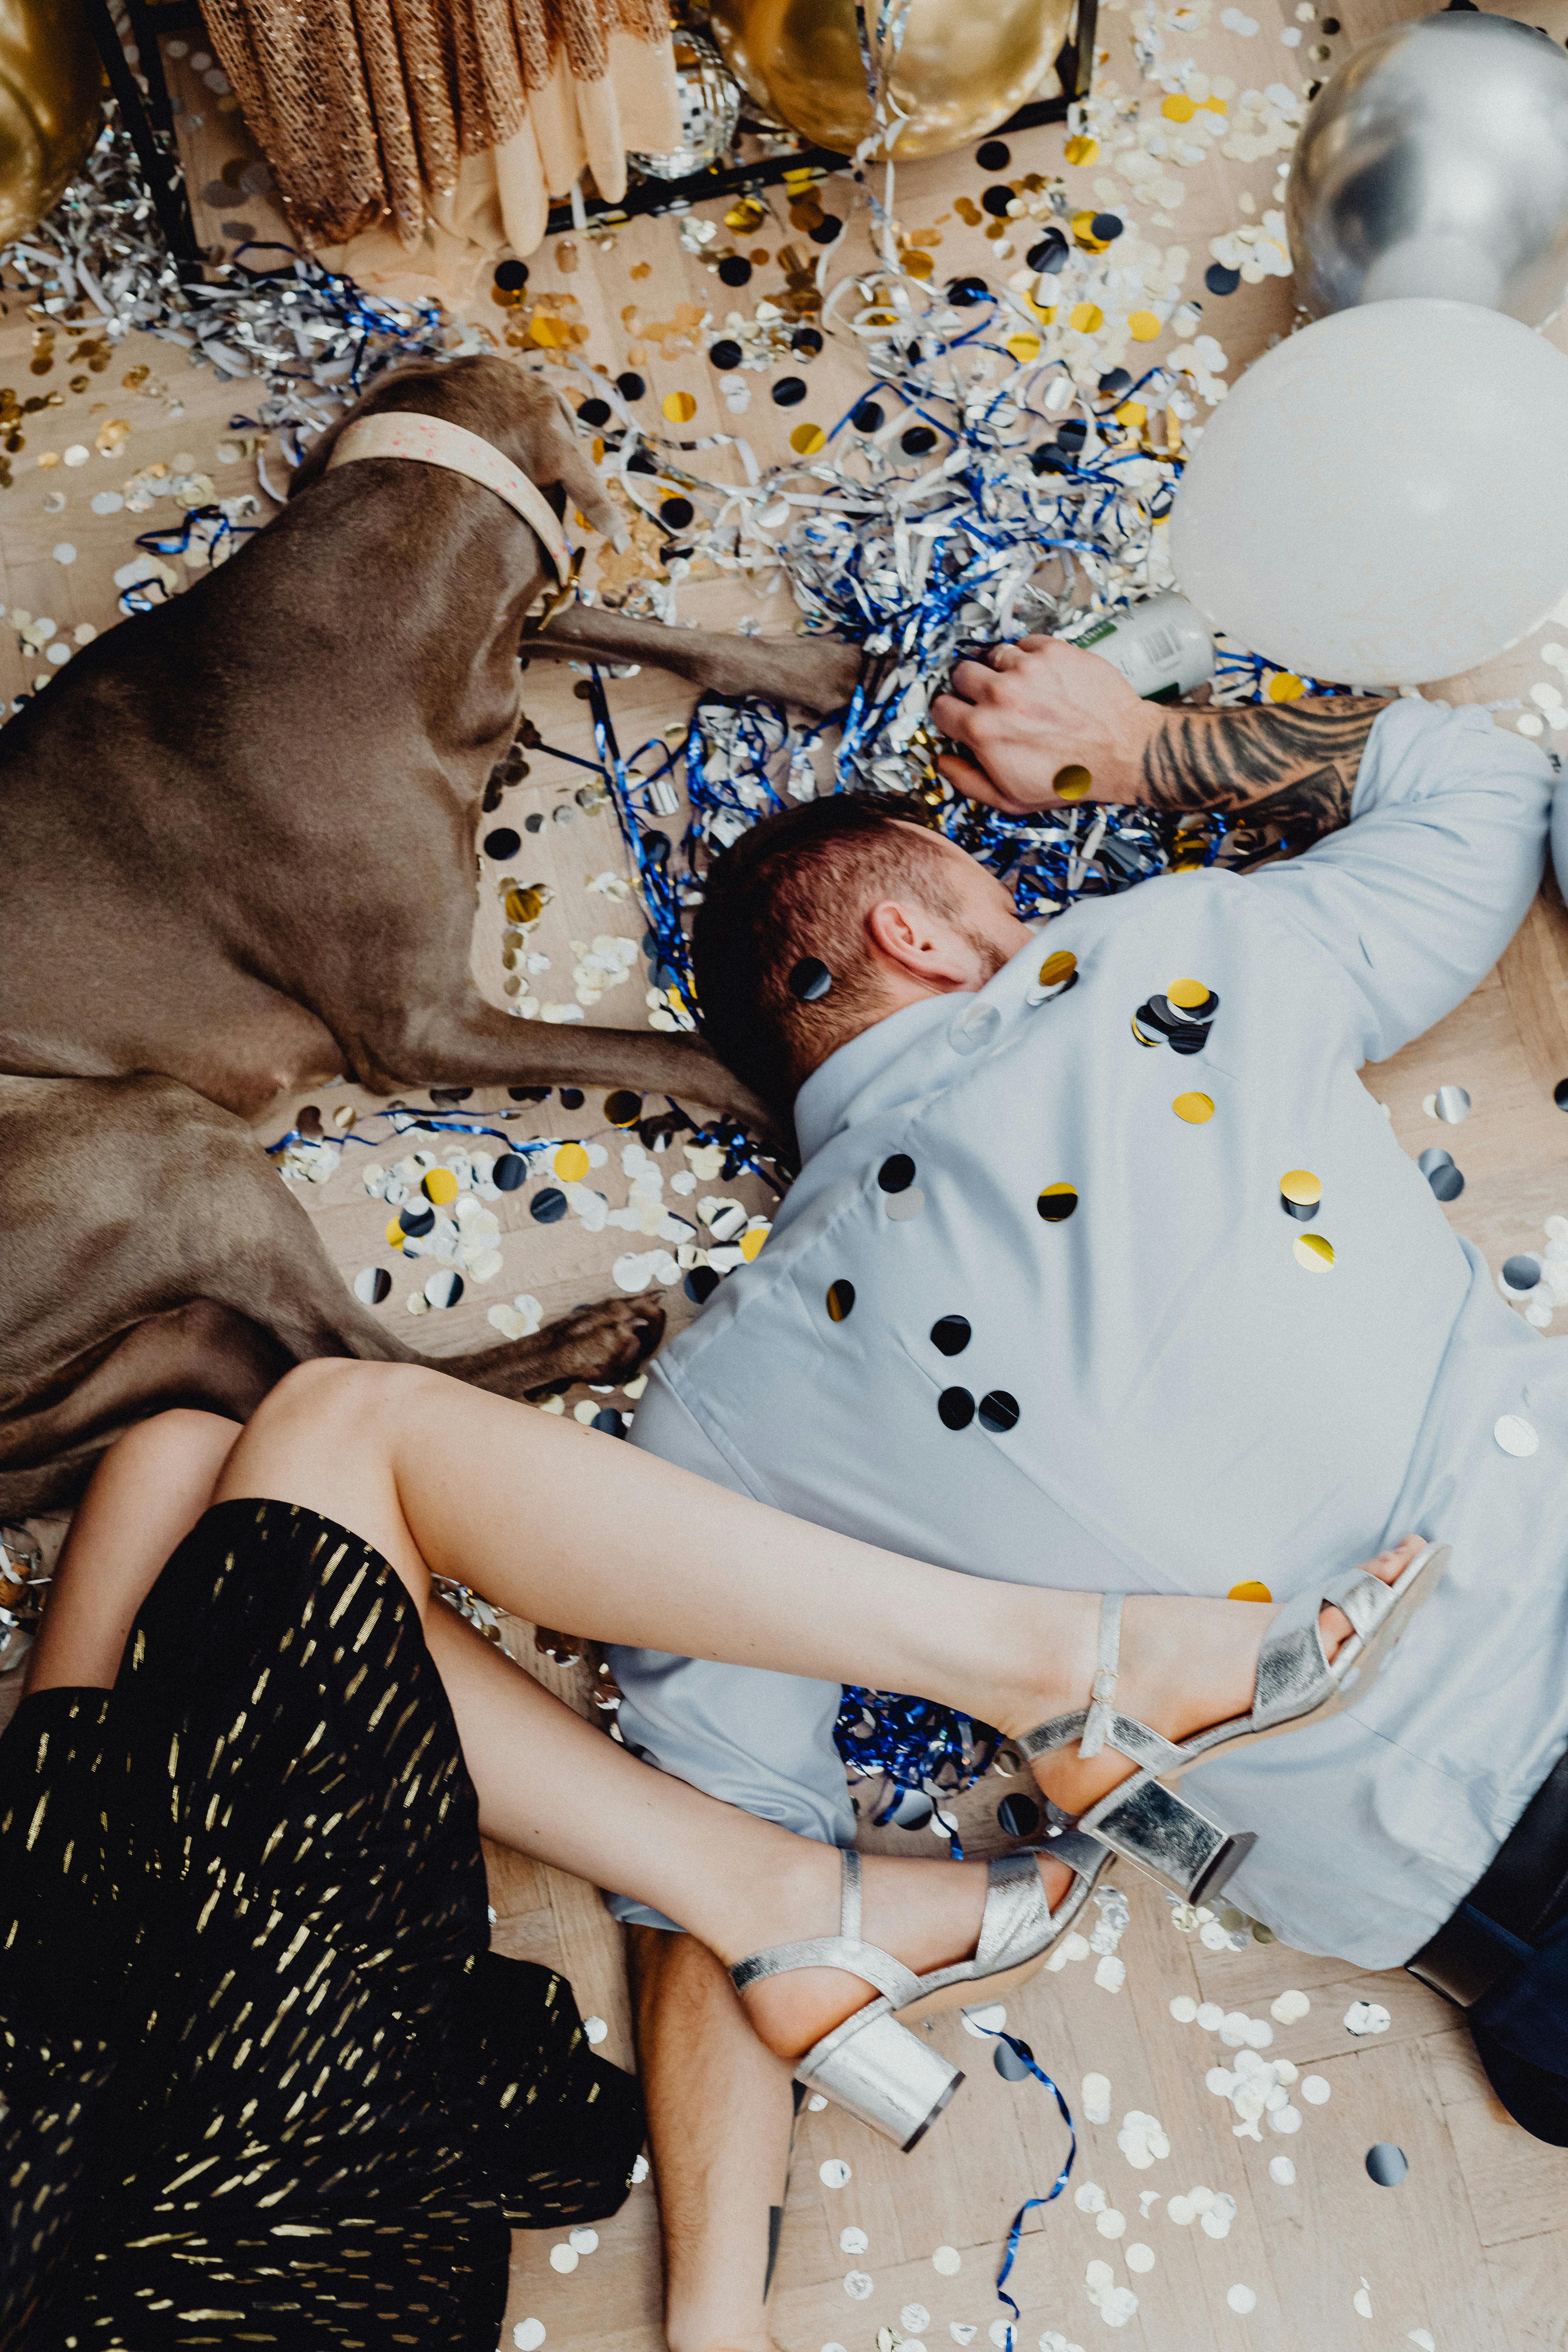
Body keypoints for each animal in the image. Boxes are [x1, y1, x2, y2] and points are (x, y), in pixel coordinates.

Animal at [0, 355, 860, 1514]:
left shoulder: (501, 648)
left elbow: (598, 618)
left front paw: (817, 667)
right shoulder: (419, 1027)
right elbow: (677, 1051)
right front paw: (786, 1102)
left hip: (143, 1331)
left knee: (253, 1366)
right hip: (155, 1135)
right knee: (358, 1363)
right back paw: (591, 1340)